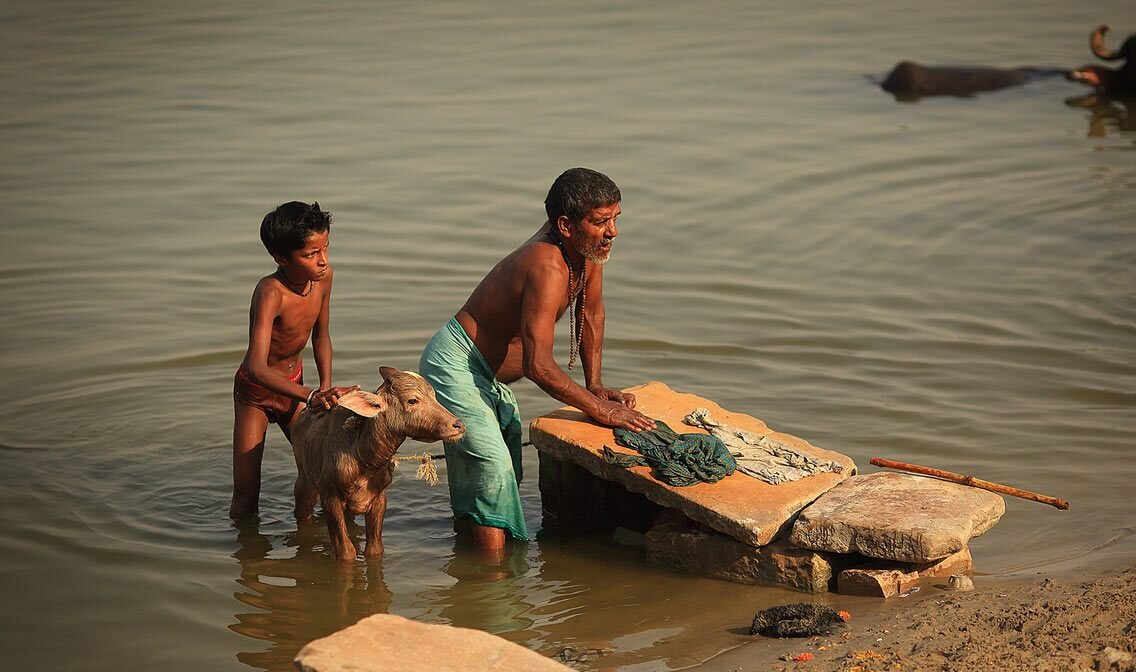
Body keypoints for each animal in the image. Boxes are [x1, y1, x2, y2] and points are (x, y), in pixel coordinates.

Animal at [288, 367, 465, 560]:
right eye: (412, 400)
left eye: (434, 396)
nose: (458, 425)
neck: (363, 459)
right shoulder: (329, 497)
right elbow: (346, 552)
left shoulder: (379, 498)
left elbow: (374, 549)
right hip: (304, 483)